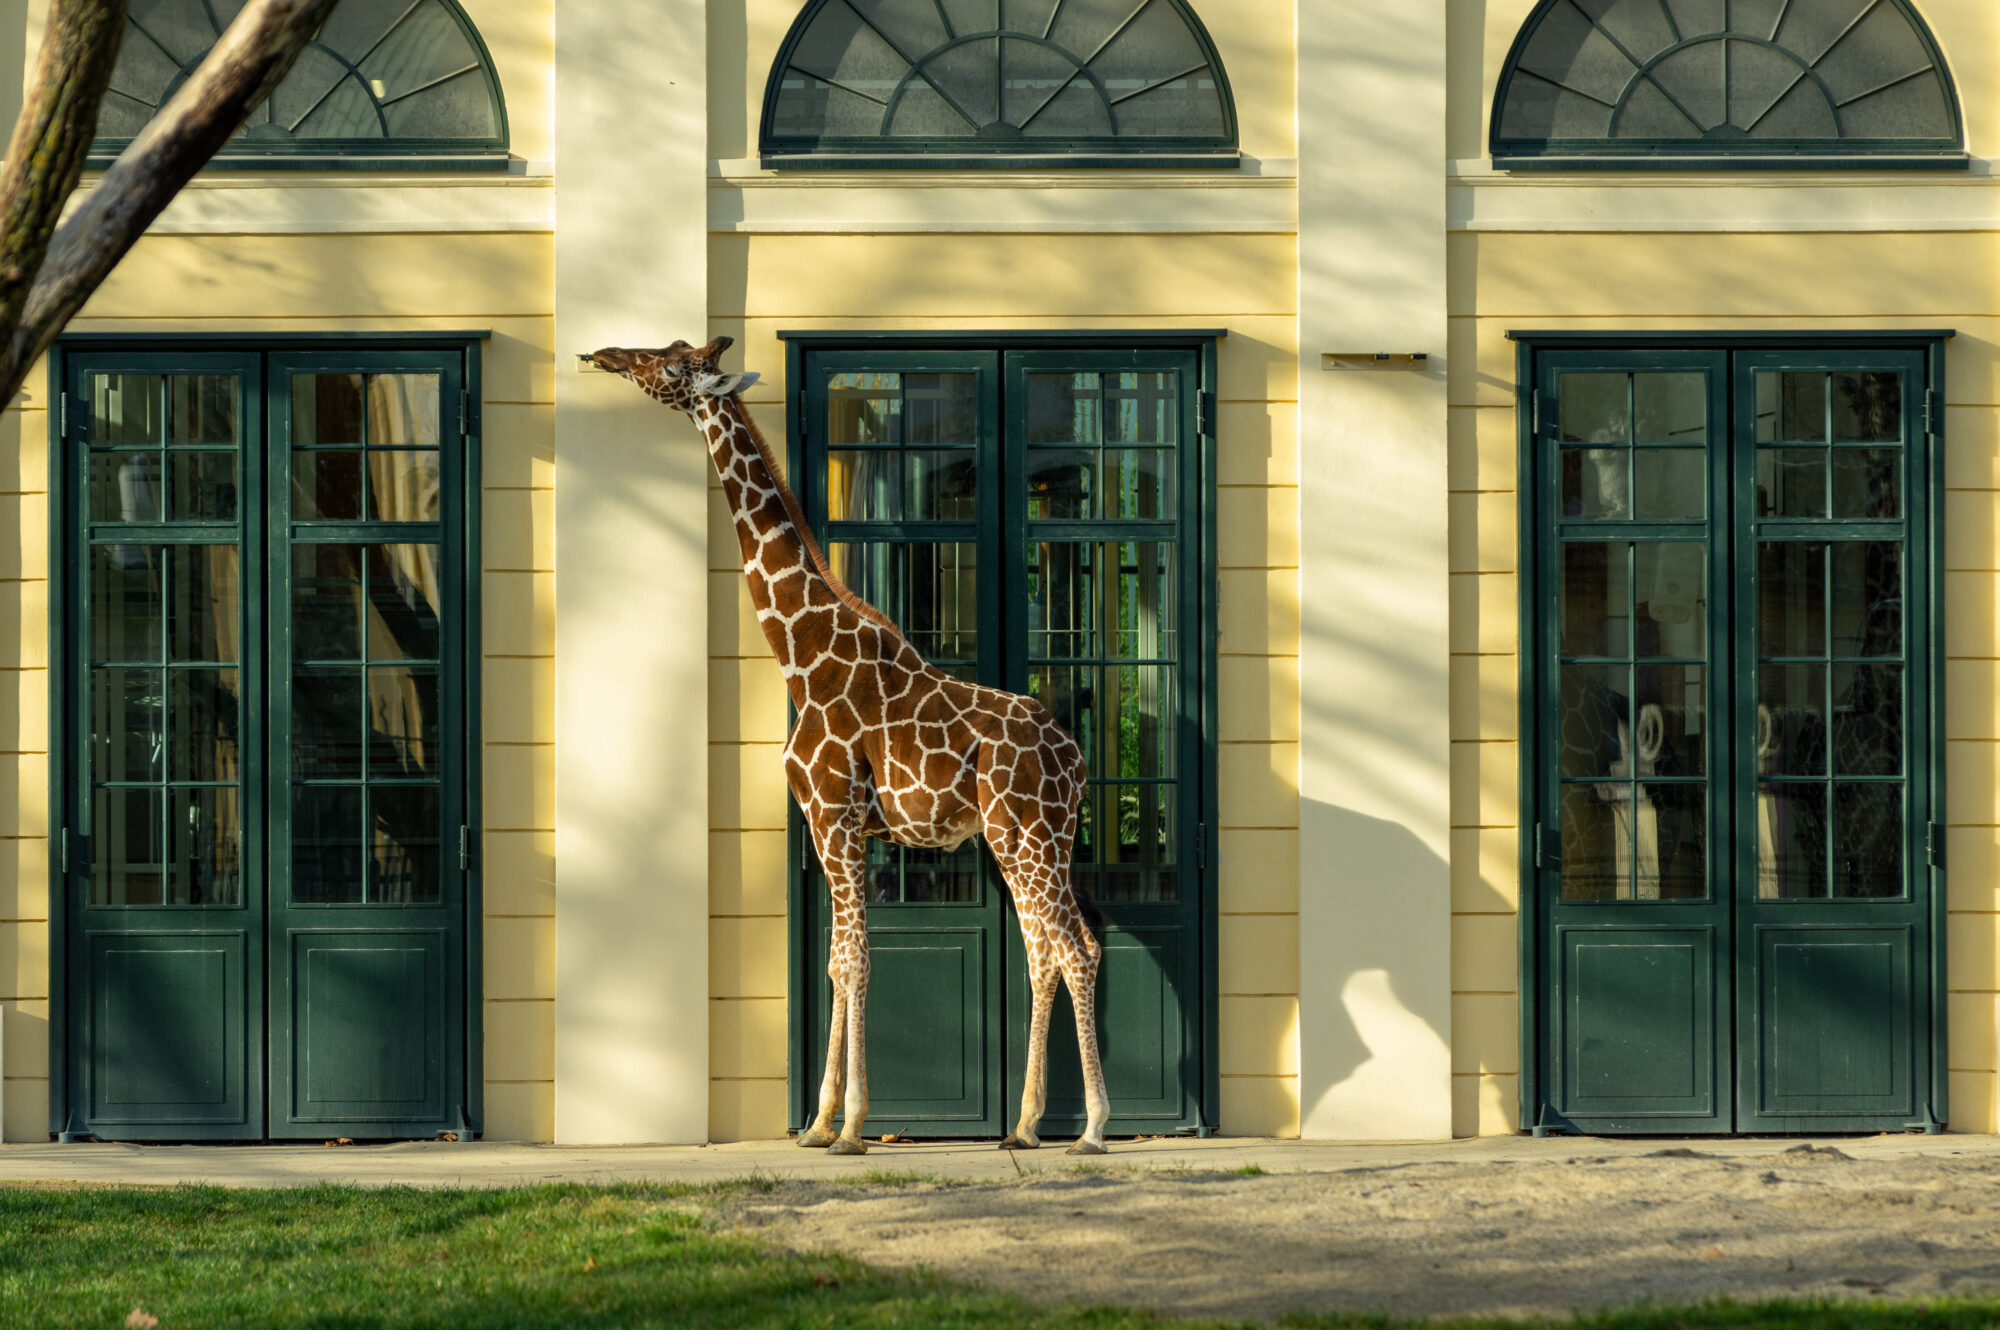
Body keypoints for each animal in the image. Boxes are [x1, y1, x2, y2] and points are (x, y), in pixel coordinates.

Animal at [586, 336, 1112, 1156]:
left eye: (670, 366)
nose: (605, 354)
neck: (799, 652)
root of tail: (1075, 758)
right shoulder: (827, 822)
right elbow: (836, 964)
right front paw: (816, 1123)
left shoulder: (835, 815)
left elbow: (858, 962)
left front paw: (854, 1126)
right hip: (1040, 839)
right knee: (1045, 953)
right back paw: (1025, 1126)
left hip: (1022, 833)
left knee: (1074, 950)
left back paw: (1089, 1129)